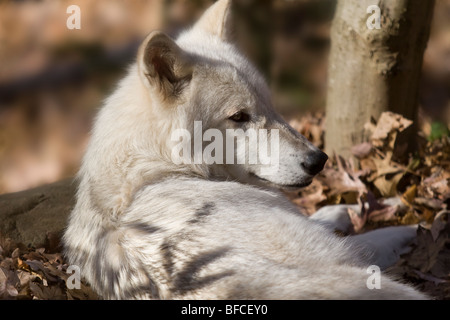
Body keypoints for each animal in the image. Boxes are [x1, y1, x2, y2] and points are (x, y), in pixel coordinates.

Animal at [62, 0, 426, 300]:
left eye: (270, 105)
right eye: (239, 117)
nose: (318, 160)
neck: (154, 172)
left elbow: (326, 217)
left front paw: (356, 208)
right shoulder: (340, 255)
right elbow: (375, 239)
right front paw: (411, 221)